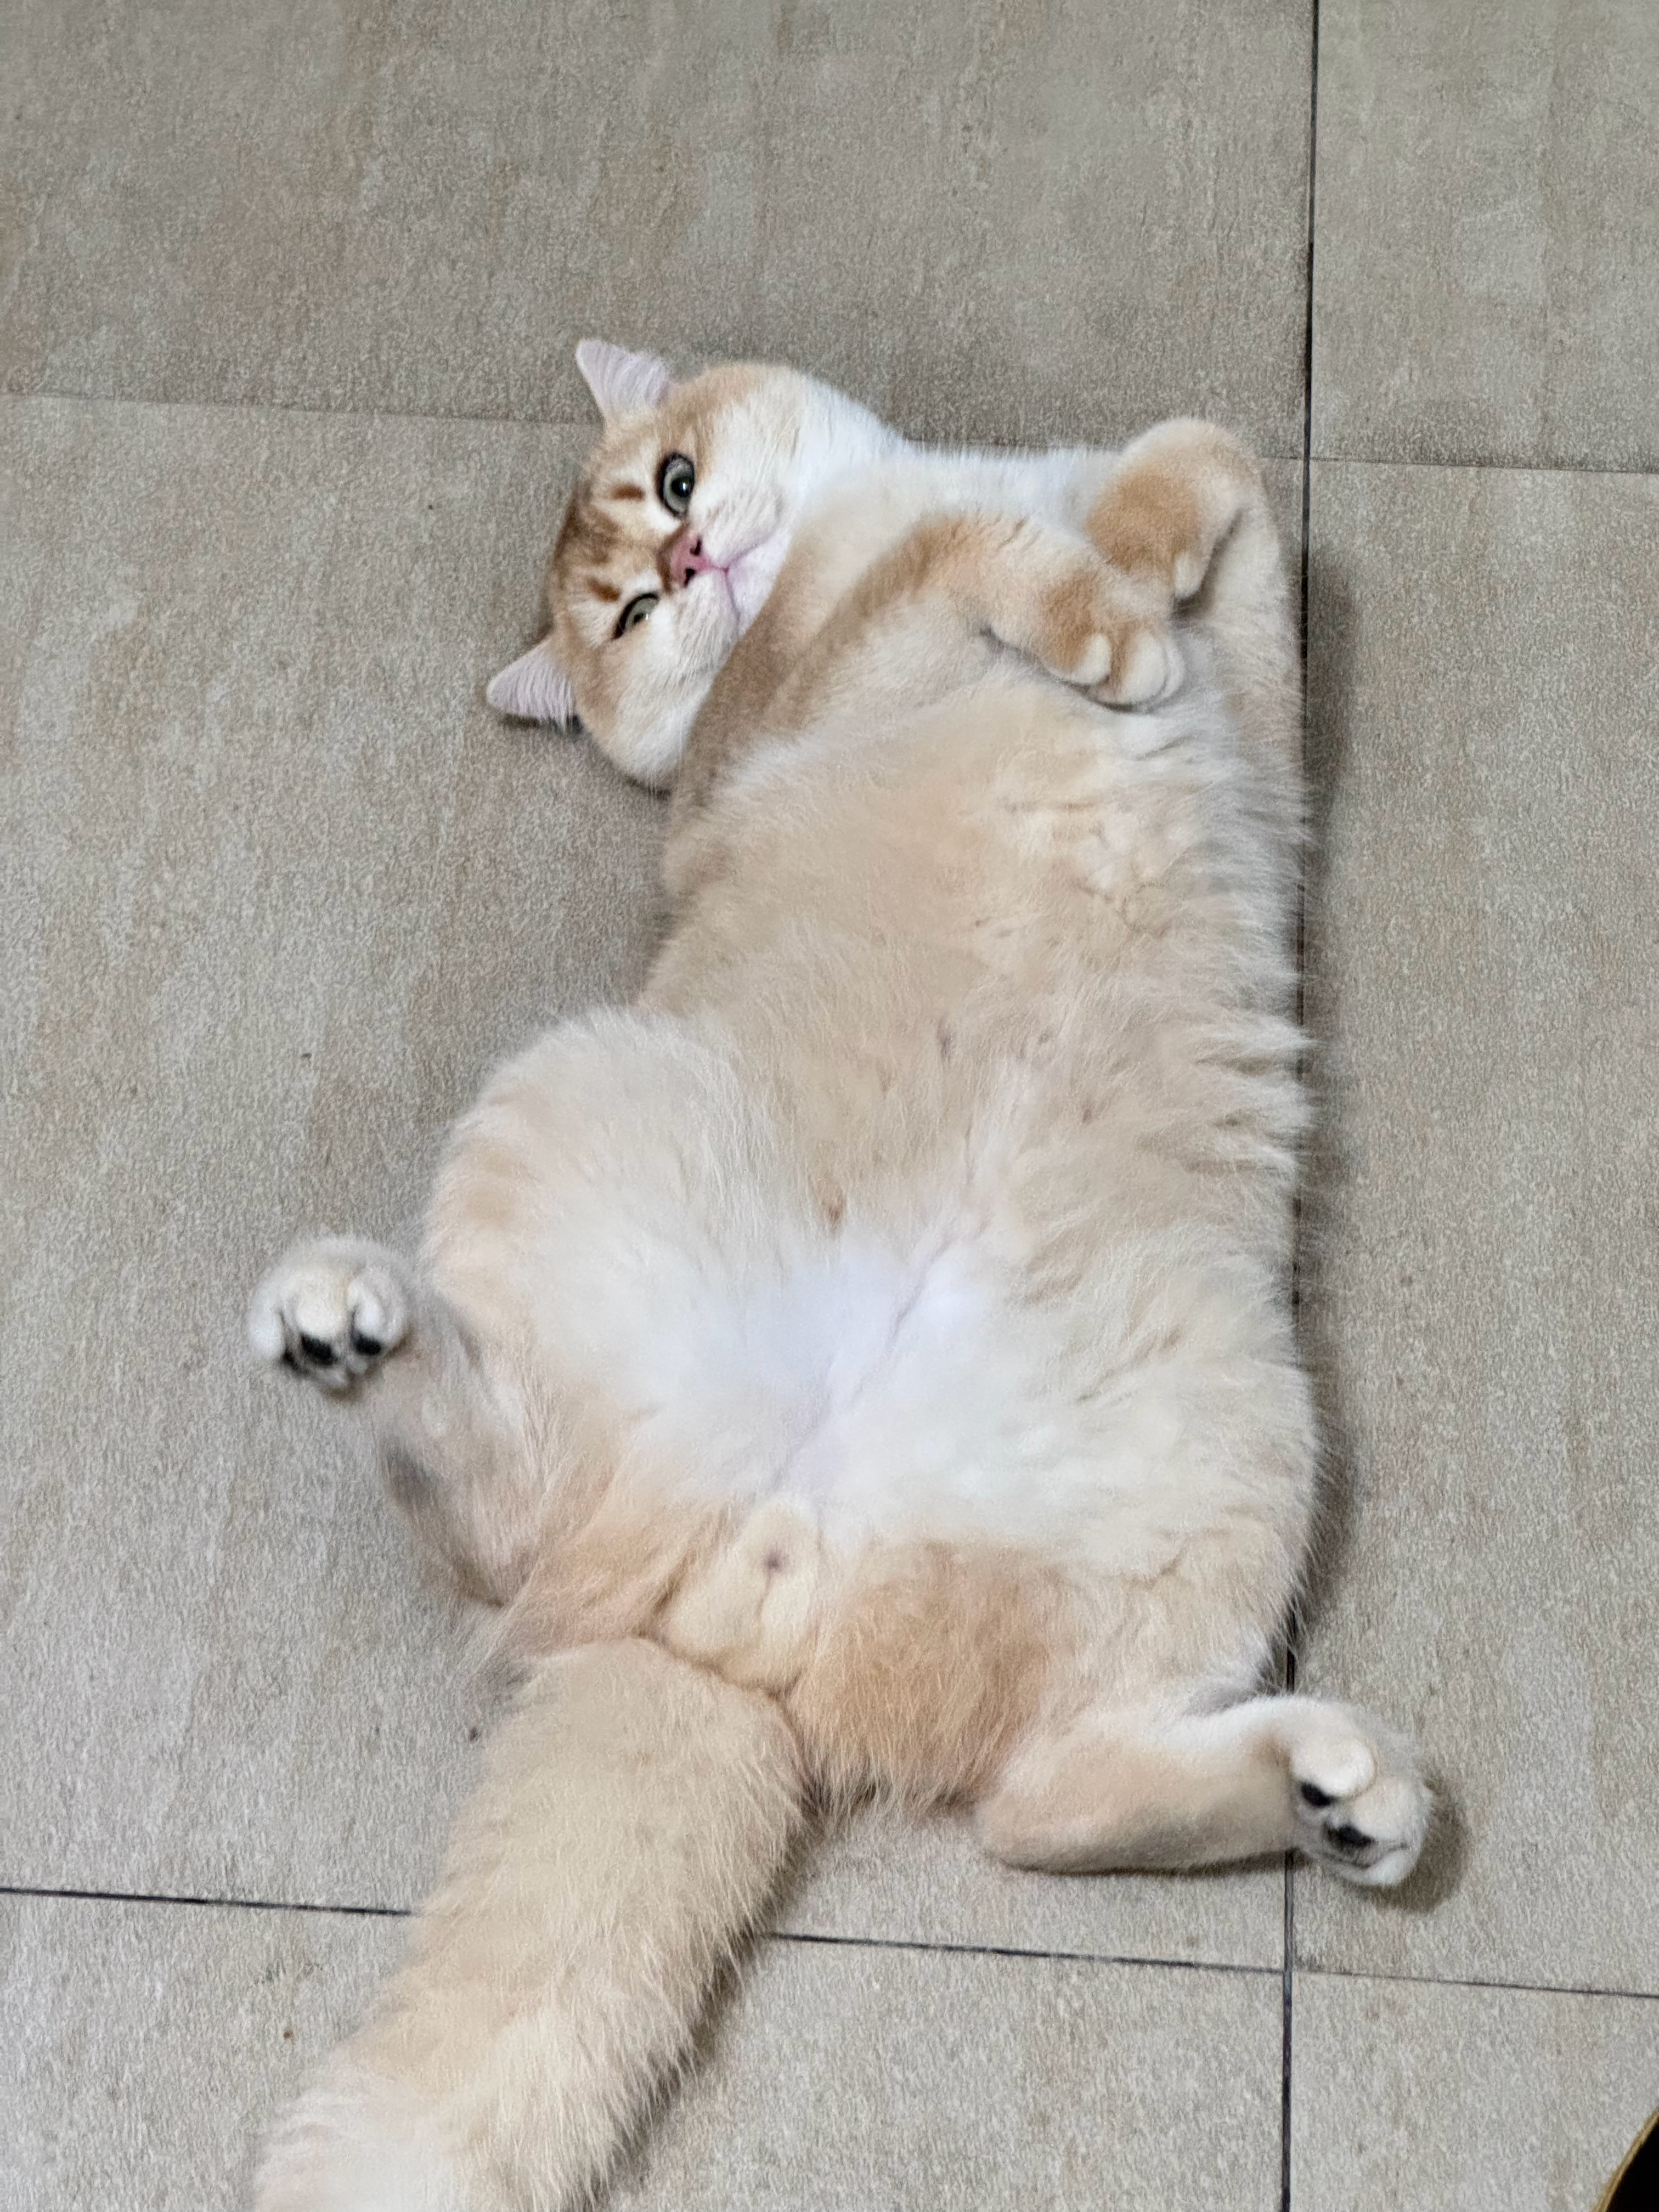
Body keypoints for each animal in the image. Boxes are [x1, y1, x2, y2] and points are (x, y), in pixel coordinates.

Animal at [246, 342, 1432, 2212]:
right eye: (625, 616)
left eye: (667, 488)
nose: (687, 566)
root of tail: (748, 1586)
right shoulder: (889, 626)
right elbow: (1085, 510)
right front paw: (1114, 595)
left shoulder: (1265, 684)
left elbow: (1185, 493)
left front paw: (1123, 566)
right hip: (574, 1100)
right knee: (508, 1531)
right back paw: (342, 1325)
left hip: (1243, 1447)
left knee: (1042, 1804)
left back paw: (1344, 1800)